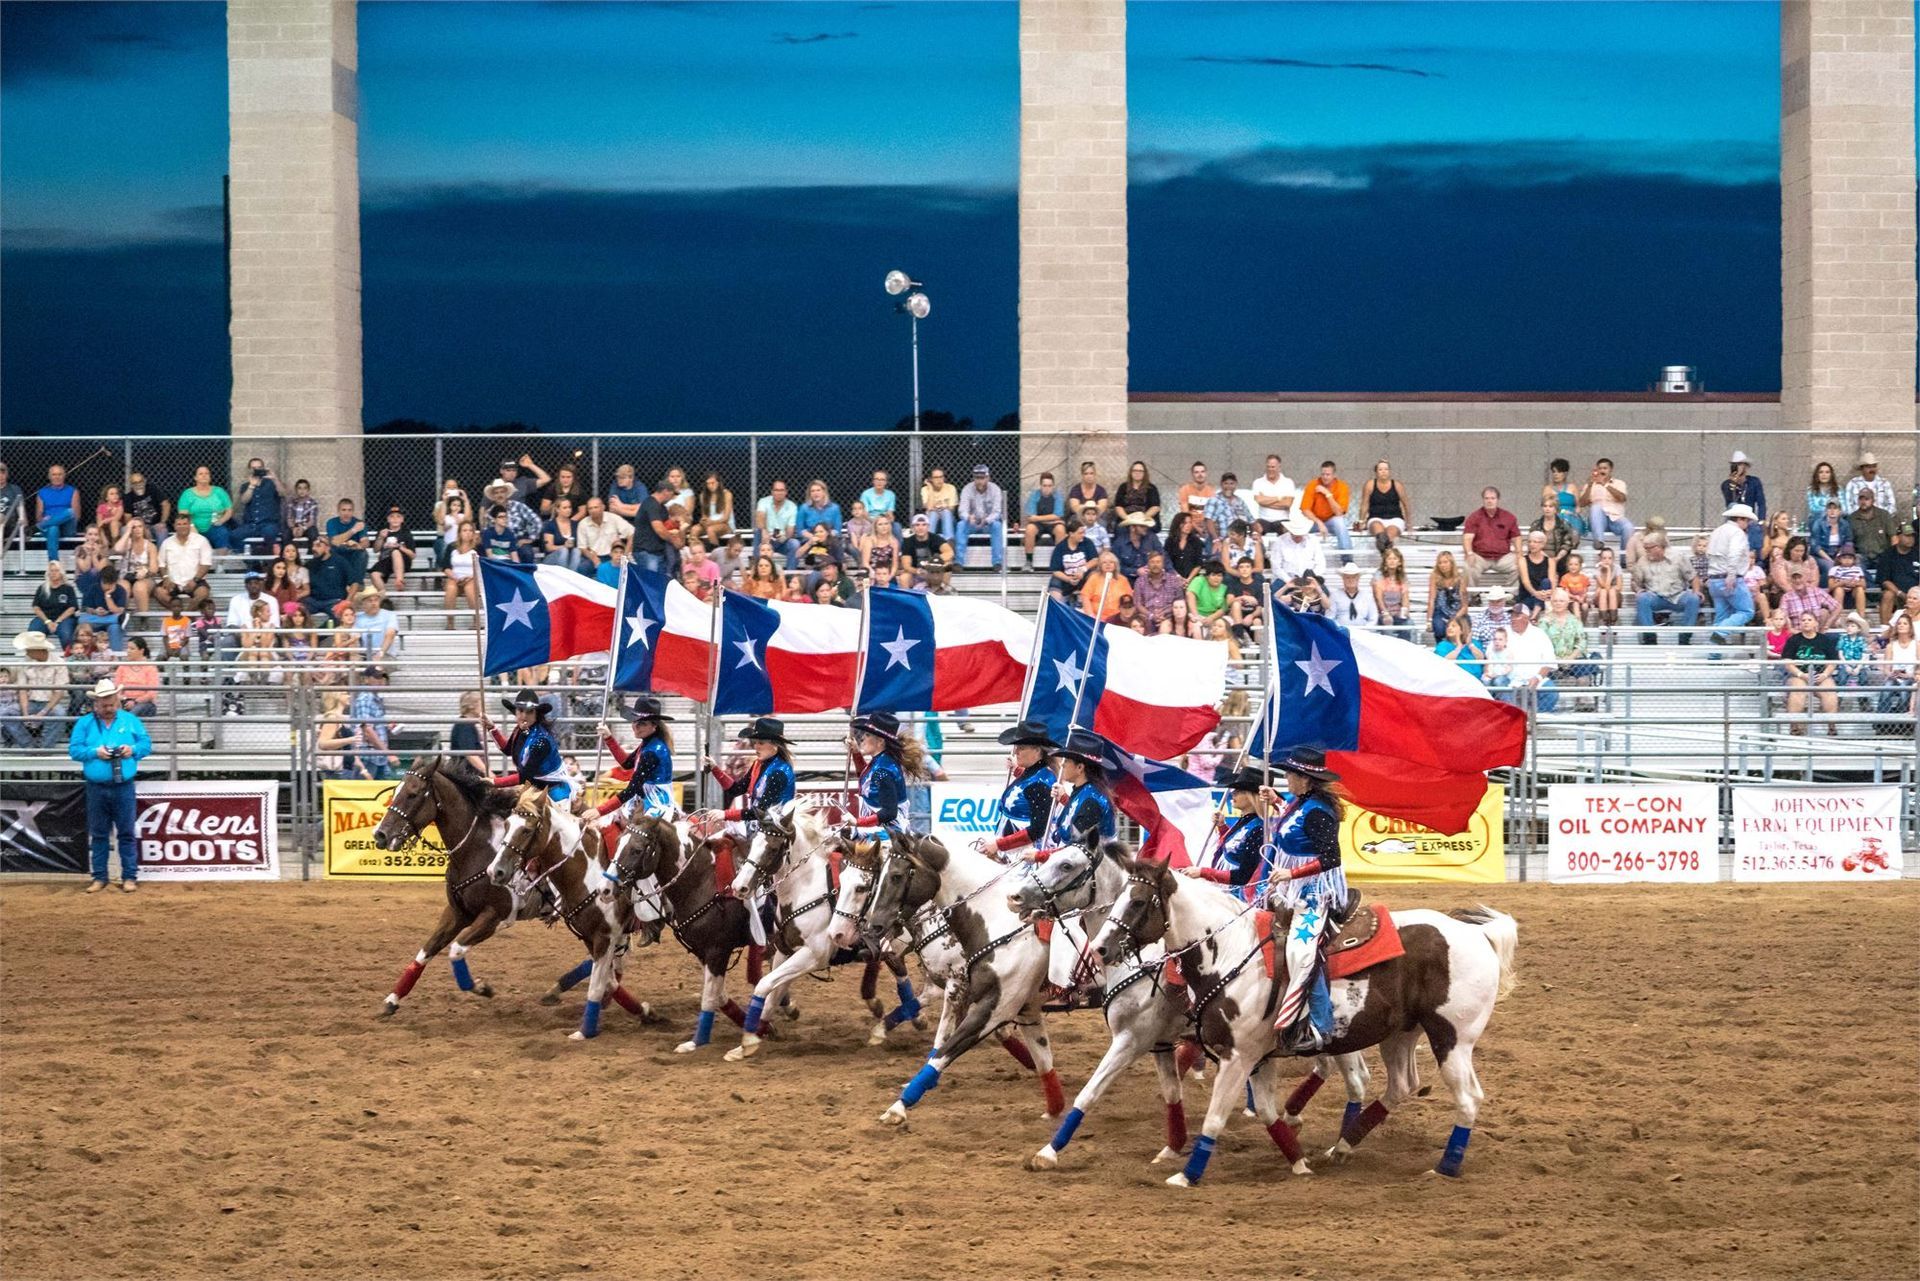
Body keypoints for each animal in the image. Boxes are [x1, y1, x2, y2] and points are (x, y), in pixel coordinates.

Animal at [483, 791, 656, 1044]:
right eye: (506, 824)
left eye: (526, 830)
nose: (495, 871)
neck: (588, 871)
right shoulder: (590, 937)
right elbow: (608, 981)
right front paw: (645, 1011)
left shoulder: (605, 936)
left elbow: (597, 985)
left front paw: (585, 1031)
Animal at [1098, 856, 1512, 1190]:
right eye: (1118, 898)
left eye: (1138, 901)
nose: (1101, 948)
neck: (1231, 951)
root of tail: (1478, 933)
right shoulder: (1257, 1059)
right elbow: (1267, 1112)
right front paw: (1299, 1163)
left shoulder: (1238, 1056)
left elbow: (1215, 1118)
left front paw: (1188, 1175)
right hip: (1399, 1034)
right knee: (1402, 1085)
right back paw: (1342, 1146)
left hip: (1451, 1038)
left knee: (1468, 1097)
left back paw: (1445, 1168)